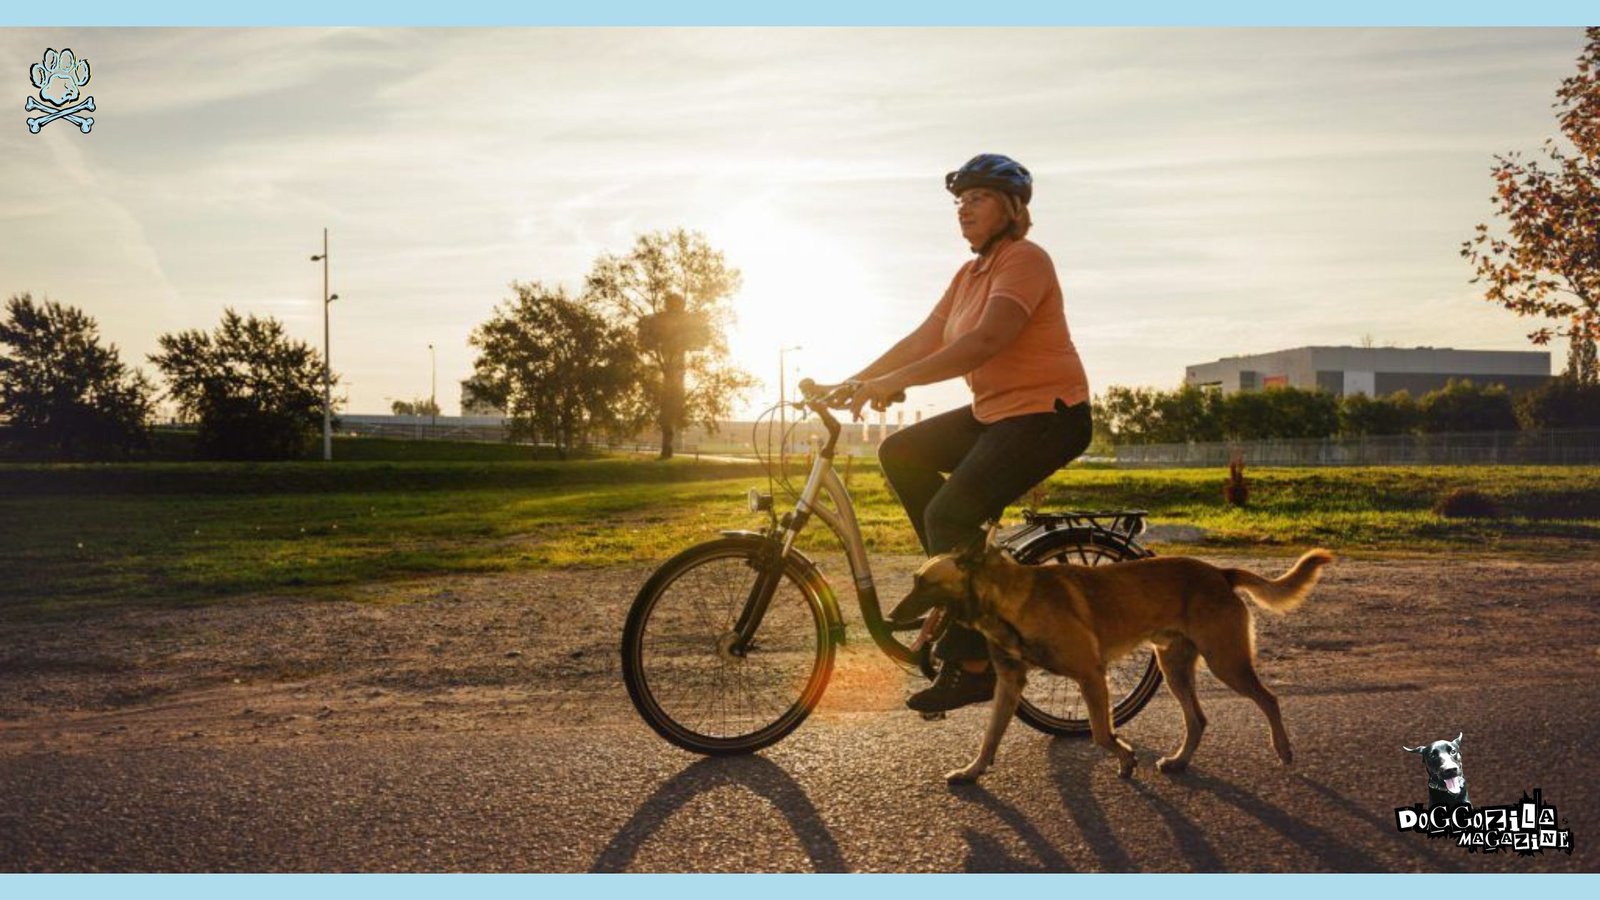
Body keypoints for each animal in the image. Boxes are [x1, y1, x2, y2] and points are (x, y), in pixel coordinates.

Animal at [896, 534, 1331, 781]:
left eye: (923, 583)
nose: (893, 616)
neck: (1009, 600)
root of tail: (1220, 573)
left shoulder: (1091, 676)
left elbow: (1102, 733)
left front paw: (1125, 758)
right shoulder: (1010, 683)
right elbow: (989, 738)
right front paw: (972, 771)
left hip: (1226, 663)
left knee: (1269, 699)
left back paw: (1283, 749)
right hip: (1174, 669)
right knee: (1198, 719)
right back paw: (1179, 761)